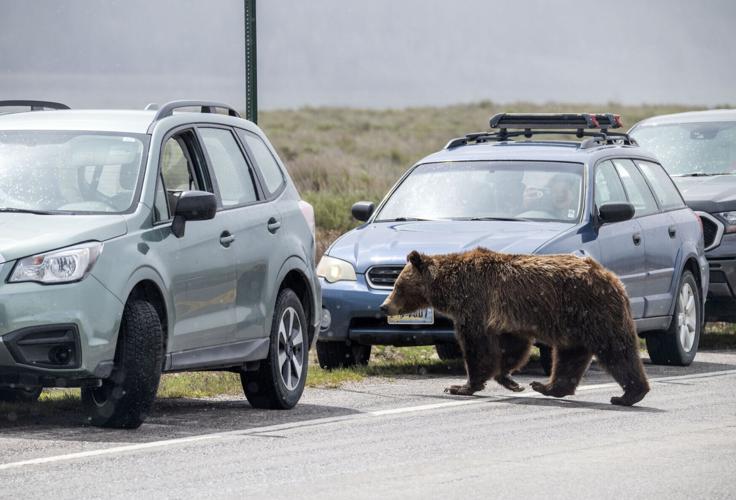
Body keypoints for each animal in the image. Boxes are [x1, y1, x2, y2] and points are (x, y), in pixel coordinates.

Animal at [379, 248, 650, 406]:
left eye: (398, 286)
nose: (384, 306)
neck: (451, 289)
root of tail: (612, 278)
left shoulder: (475, 306)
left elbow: (478, 348)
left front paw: (460, 386)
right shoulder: (509, 319)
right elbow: (512, 347)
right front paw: (510, 379)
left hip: (590, 311)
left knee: (616, 350)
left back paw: (627, 394)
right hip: (575, 324)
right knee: (571, 355)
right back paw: (547, 386)